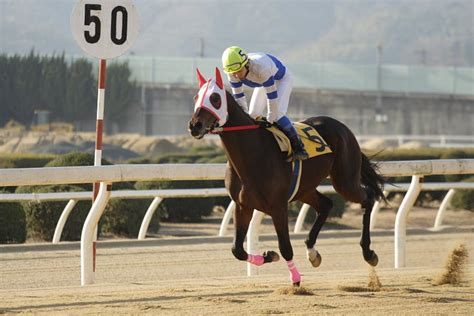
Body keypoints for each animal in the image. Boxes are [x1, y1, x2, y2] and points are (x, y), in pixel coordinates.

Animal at [187, 67, 384, 286]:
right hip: (304, 188)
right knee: (326, 204)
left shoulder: (278, 206)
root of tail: (342, 126)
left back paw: (368, 252)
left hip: (345, 181)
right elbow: (237, 249)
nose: (195, 125)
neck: (252, 153)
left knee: (368, 198)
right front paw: (269, 255)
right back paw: (312, 252)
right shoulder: (242, 206)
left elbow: (285, 247)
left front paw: (296, 280)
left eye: (215, 98)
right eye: (196, 97)